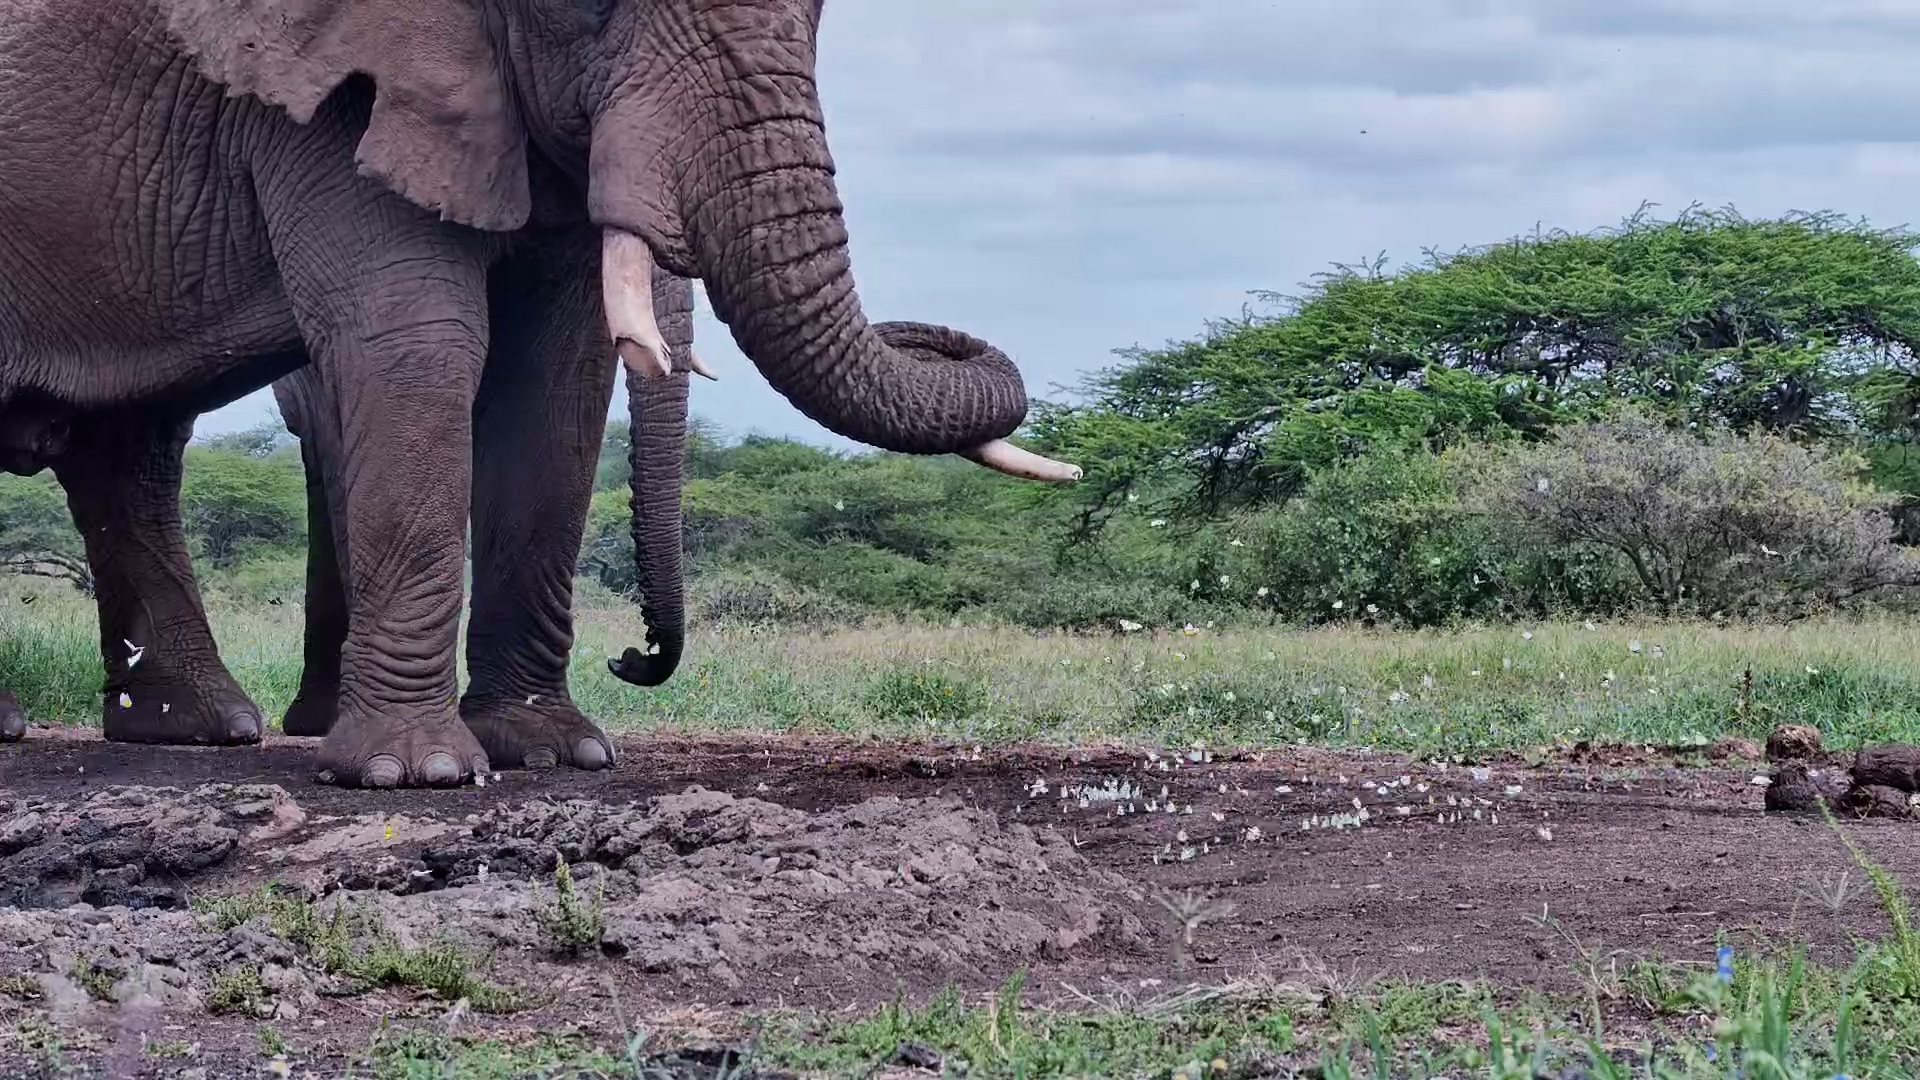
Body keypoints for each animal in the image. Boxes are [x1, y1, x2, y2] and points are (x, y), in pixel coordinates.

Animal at [0, 0, 1080, 788]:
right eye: (592, 5)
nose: (633, 658)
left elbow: (557, 367)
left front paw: (557, 752)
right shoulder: (329, 88)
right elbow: (417, 340)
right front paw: (416, 774)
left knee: (131, 448)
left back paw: (198, 730)